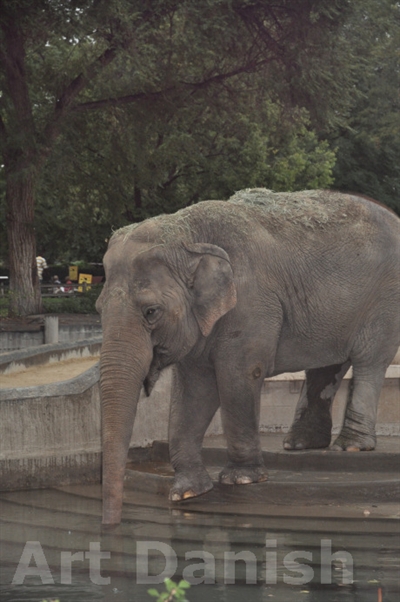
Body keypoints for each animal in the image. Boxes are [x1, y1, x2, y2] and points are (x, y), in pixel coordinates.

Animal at [97, 188, 400, 520]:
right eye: (98, 309)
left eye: (151, 312)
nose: (112, 525)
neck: (189, 237)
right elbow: (193, 391)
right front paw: (187, 493)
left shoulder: (251, 303)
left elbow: (238, 376)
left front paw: (242, 479)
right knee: (326, 366)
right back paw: (299, 443)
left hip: (386, 298)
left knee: (369, 361)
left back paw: (350, 447)